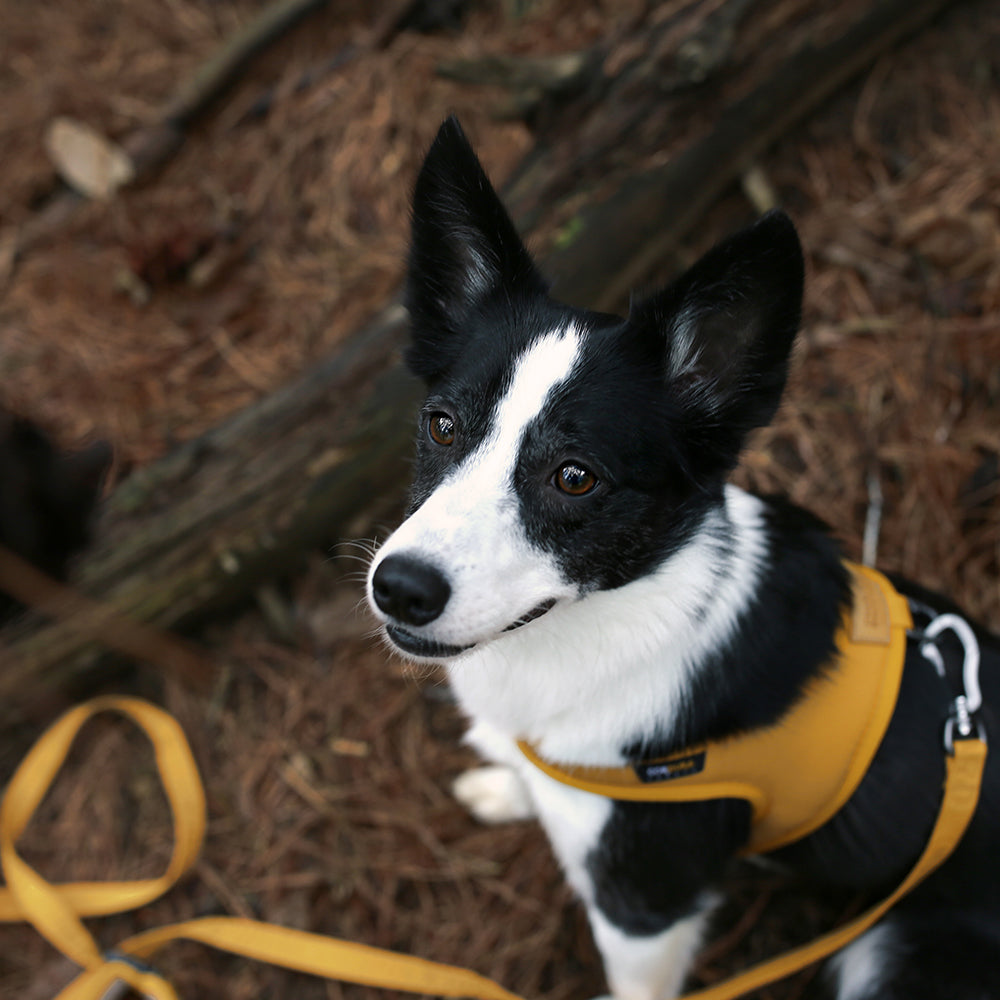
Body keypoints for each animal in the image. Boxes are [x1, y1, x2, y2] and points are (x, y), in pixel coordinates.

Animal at [368, 119, 1000, 1000]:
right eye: (442, 425)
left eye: (575, 476)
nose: (399, 589)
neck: (611, 615)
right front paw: (505, 782)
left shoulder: (645, 908)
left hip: (889, 955)